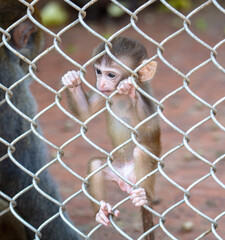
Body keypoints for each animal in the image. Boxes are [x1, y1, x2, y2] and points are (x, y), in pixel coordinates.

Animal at [61, 36, 160, 240]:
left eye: (111, 75)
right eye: (99, 72)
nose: (101, 83)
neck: (121, 97)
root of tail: (126, 180)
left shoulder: (147, 92)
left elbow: (150, 128)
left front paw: (130, 87)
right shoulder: (104, 95)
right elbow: (85, 113)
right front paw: (72, 80)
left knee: (141, 152)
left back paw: (143, 197)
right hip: (115, 169)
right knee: (96, 165)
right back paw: (101, 211)